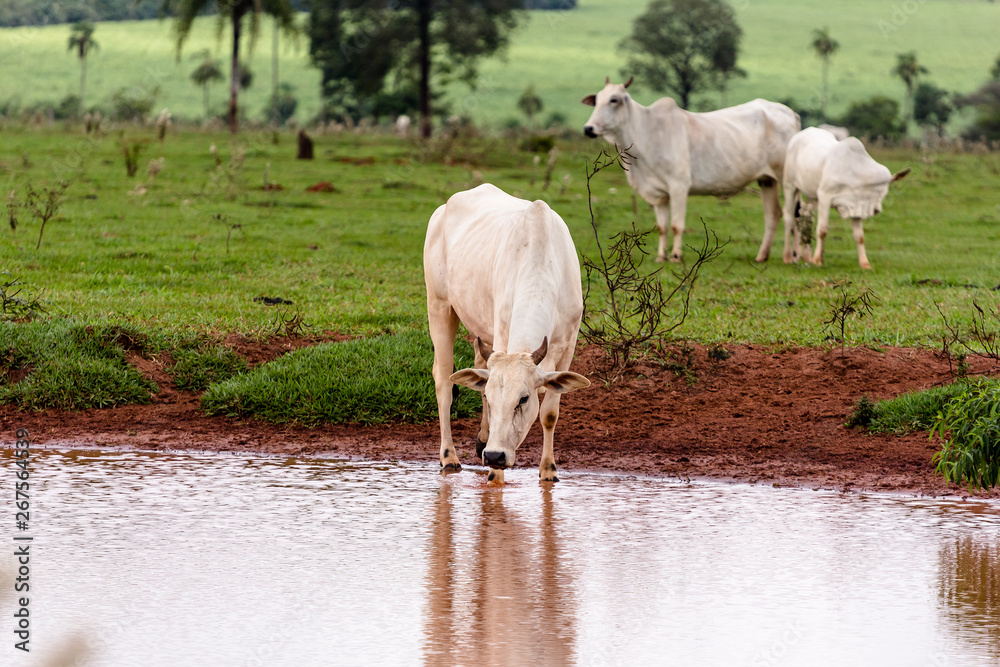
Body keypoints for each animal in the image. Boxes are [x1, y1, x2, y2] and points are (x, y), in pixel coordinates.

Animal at [424, 184, 590, 484]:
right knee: (443, 381)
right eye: (492, 399)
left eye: (523, 399)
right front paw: (494, 476)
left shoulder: (569, 344)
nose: (494, 456)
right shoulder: (502, 334)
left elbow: (549, 413)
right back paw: (449, 456)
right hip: (439, 305)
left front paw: (548, 469)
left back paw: (482, 439)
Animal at [582, 77, 801, 263]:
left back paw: (794, 256)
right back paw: (762, 256)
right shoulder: (659, 193)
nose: (588, 128)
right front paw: (661, 256)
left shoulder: (679, 186)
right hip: (767, 180)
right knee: (773, 214)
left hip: (788, 181)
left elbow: (676, 225)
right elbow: (662, 227)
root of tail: (790, 113)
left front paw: (676, 256)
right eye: (596, 101)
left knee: (794, 213)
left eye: (614, 99)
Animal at [780, 127, 910, 269]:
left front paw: (865, 263)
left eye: (884, 192)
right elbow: (822, 230)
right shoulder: (825, 196)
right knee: (788, 218)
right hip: (789, 186)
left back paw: (807, 256)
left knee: (806, 217)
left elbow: (860, 236)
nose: (876, 210)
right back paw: (788, 257)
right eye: (879, 191)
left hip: (811, 196)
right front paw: (818, 260)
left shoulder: (856, 207)